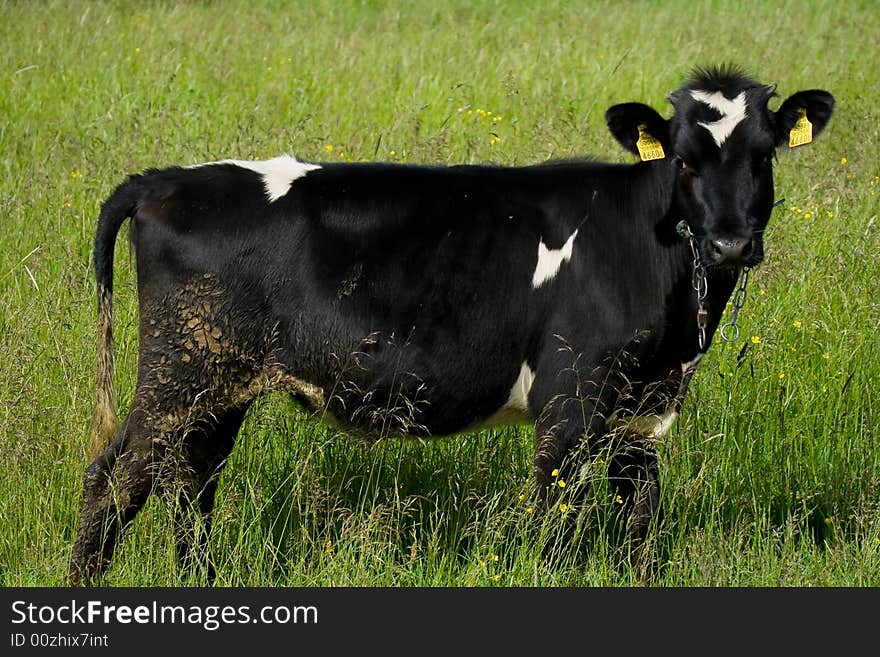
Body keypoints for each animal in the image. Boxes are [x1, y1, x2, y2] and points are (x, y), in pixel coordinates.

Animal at [69, 65, 832, 580]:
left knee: (190, 484)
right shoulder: (570, 401)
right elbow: (556, 529)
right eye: (683, 159)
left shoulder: (639, 413)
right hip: (180, 371)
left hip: (219, 386)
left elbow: (641, 526)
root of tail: (164, 179)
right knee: (115, 478)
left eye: (764, 154)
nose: (731, 244)